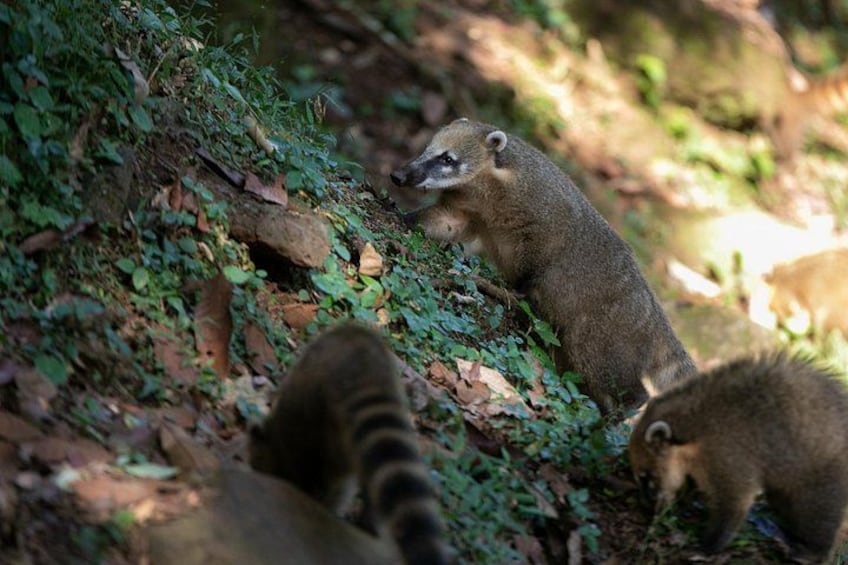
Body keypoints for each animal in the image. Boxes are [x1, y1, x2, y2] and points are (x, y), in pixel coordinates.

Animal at [390, 118, 696, 415]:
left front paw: (521, 286)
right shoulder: (467, 204)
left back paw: (623, 408)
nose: (399, 176)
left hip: (605, 333)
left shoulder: (545, 212)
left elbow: (546, 251)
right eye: (427, 148)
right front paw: (407, 216)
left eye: (448, 159)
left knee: (606, 367)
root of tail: (653, 316)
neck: (486, 182)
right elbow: (448, 222)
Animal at [629, 353, 848, 562]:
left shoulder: (729, 451)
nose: (646, 508)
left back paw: (813, 551)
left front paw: (709, 545)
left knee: (818, 510)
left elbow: (735, 501)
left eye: (646, 476)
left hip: (825, 469)